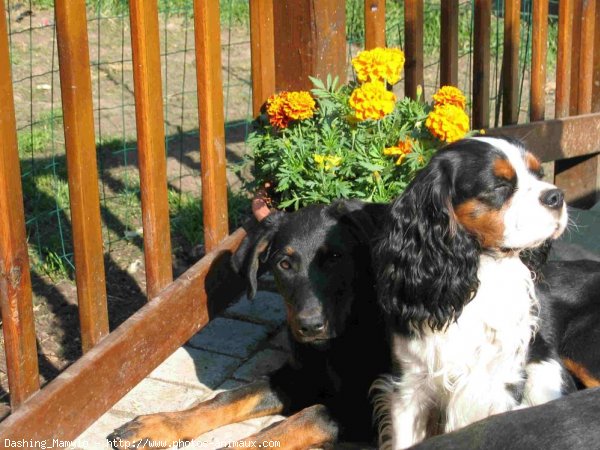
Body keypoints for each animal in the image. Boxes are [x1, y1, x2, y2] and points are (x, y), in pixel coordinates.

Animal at [108, 201, 390, 450]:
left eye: (335, 257)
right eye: (284, 264)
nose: (310, 326)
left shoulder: (366, 411)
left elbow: (304, 419)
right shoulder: (300, 376)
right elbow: (230, 397)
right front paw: (160, 424)